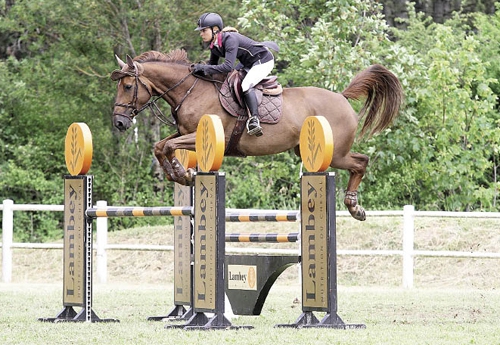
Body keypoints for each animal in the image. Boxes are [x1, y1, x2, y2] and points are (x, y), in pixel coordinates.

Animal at [109, 48, 402, 220]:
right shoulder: (185, 133)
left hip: (337, 153)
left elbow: (167, 147)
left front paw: (182, 173)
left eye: (127, 86)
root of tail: (341, 97)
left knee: (361, 162)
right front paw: (182, 174)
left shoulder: (206, 137)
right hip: (310, 151)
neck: (191, 91)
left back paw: (354, 207)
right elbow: (160, 147)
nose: (120, 123)